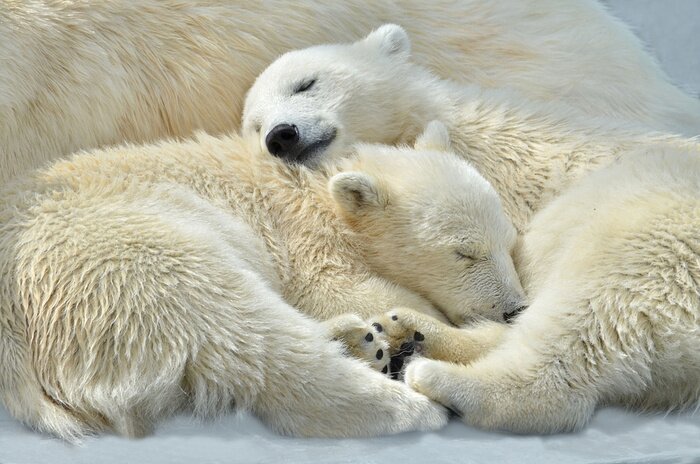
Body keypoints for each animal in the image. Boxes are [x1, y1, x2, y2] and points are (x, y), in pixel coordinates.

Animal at [0, 121, 529, 440]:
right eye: (464, 252)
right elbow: (342, 288)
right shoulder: (302, 239)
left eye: (508, 242)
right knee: (245, 330)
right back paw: (409, 401)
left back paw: (359, 340)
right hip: (122, 259)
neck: (319, 189)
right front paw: (418, 325)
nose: (513, 309)